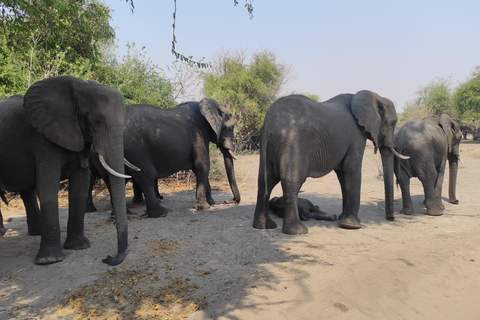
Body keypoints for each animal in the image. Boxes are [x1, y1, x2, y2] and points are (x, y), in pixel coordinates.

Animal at [0, 76, 129, 266]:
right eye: (97, 121)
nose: (107, 258)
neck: (82, 87)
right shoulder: (42, 138)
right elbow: (48, 186)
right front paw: (49, 260)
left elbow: (81, 183)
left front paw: (79, 247)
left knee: (27, 191)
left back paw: (37, 232)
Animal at [87, 97, 240, 218]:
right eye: (231, 128)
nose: (229, 201)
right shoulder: (199, 134)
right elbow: (202, 165)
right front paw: (204, 208)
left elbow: (200, 168)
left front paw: (211, 203)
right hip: (135, 147)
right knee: (146, 175)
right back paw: (161, 213)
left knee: (118, 178)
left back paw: (123, 214)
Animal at [251, 91, 408, 234]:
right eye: (392, 123)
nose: (391, 218)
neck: (373, 95)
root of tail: (269, 122)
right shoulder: (357, 135)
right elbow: (351, 168)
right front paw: (352, 225)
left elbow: (342, 173)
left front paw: (344, 219)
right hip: (292, 142)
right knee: (292, 181)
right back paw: (297, 231)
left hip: (271, 145)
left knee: (265, 180)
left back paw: (264, 226)